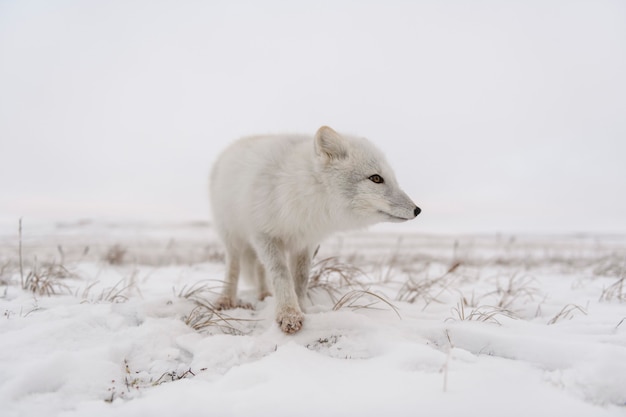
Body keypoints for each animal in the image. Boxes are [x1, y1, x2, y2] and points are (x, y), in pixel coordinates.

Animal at [210, 125, 420, 334]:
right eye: (376, 178)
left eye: (393, 179)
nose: (418, 210)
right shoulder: (264, 235)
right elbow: (281, 275)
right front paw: (289, 314)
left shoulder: (306, 241)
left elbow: (301, 279)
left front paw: (303, 309)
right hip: (233, 238)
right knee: (233, 268)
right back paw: (226, 299)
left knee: (260, 269)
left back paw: (264, 294)